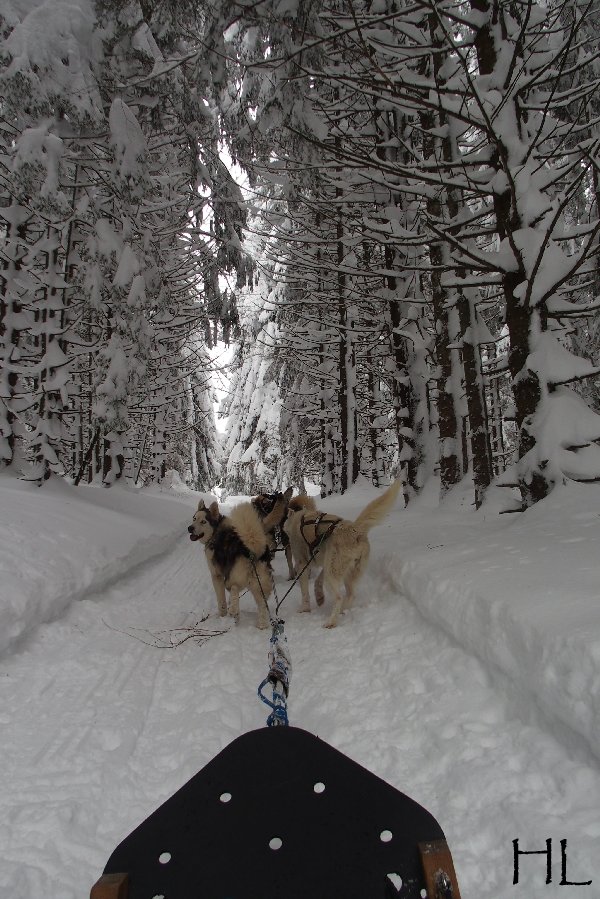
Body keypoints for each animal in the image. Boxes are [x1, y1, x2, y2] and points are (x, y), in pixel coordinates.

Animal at [189, 496, 290, 628]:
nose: (190, 528)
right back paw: (261, 624)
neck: (216, 531)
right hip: (259, 584)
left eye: (203, 522)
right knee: (262, 605)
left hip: (233, 577)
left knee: (234, 588)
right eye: (194, 519)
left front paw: (222, 615)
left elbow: (221, 601)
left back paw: (234, 610)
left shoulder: (217, 576)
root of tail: (252, 551)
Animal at [284, 482, 400, 628]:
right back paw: (342, 609)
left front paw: (304, 609)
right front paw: (319, 596)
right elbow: (317, 581)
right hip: (346, 572)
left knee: (339, 598)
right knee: (350, 595)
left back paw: (331, 621)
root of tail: (354, 529)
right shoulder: (324, 563)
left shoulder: (302, 564)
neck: (300, 519)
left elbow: (304, 592)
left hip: (332, 574)